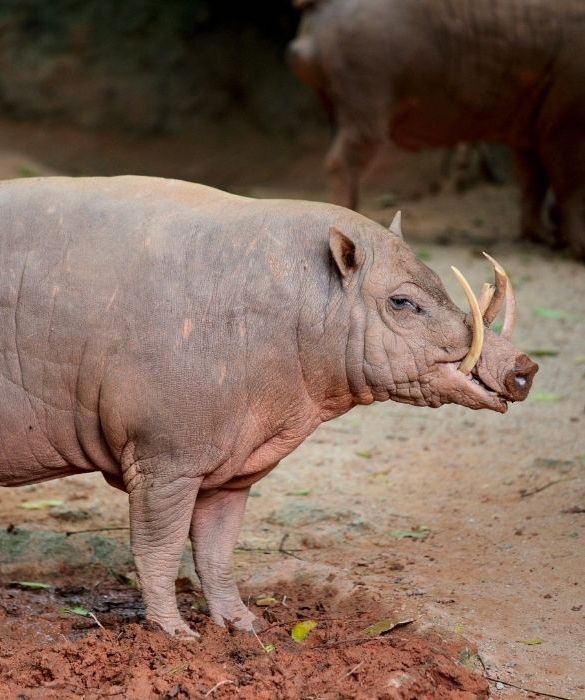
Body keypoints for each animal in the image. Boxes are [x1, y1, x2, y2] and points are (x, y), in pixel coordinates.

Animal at [0, 178, 536, 636]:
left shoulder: (231, 469)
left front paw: (243, 625)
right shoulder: (165, 457)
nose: (524, 369)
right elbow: (160, 549)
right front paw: (175, 634)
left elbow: (217, 552)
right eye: (403, 303)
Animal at [288, 0, 585, 260]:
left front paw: (539, 237)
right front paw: (579, 249)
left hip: (339, 103)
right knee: (345, 158)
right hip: (367, 94)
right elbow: (571, 181)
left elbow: (534, 178)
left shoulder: (533, 127)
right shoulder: (568, 120)